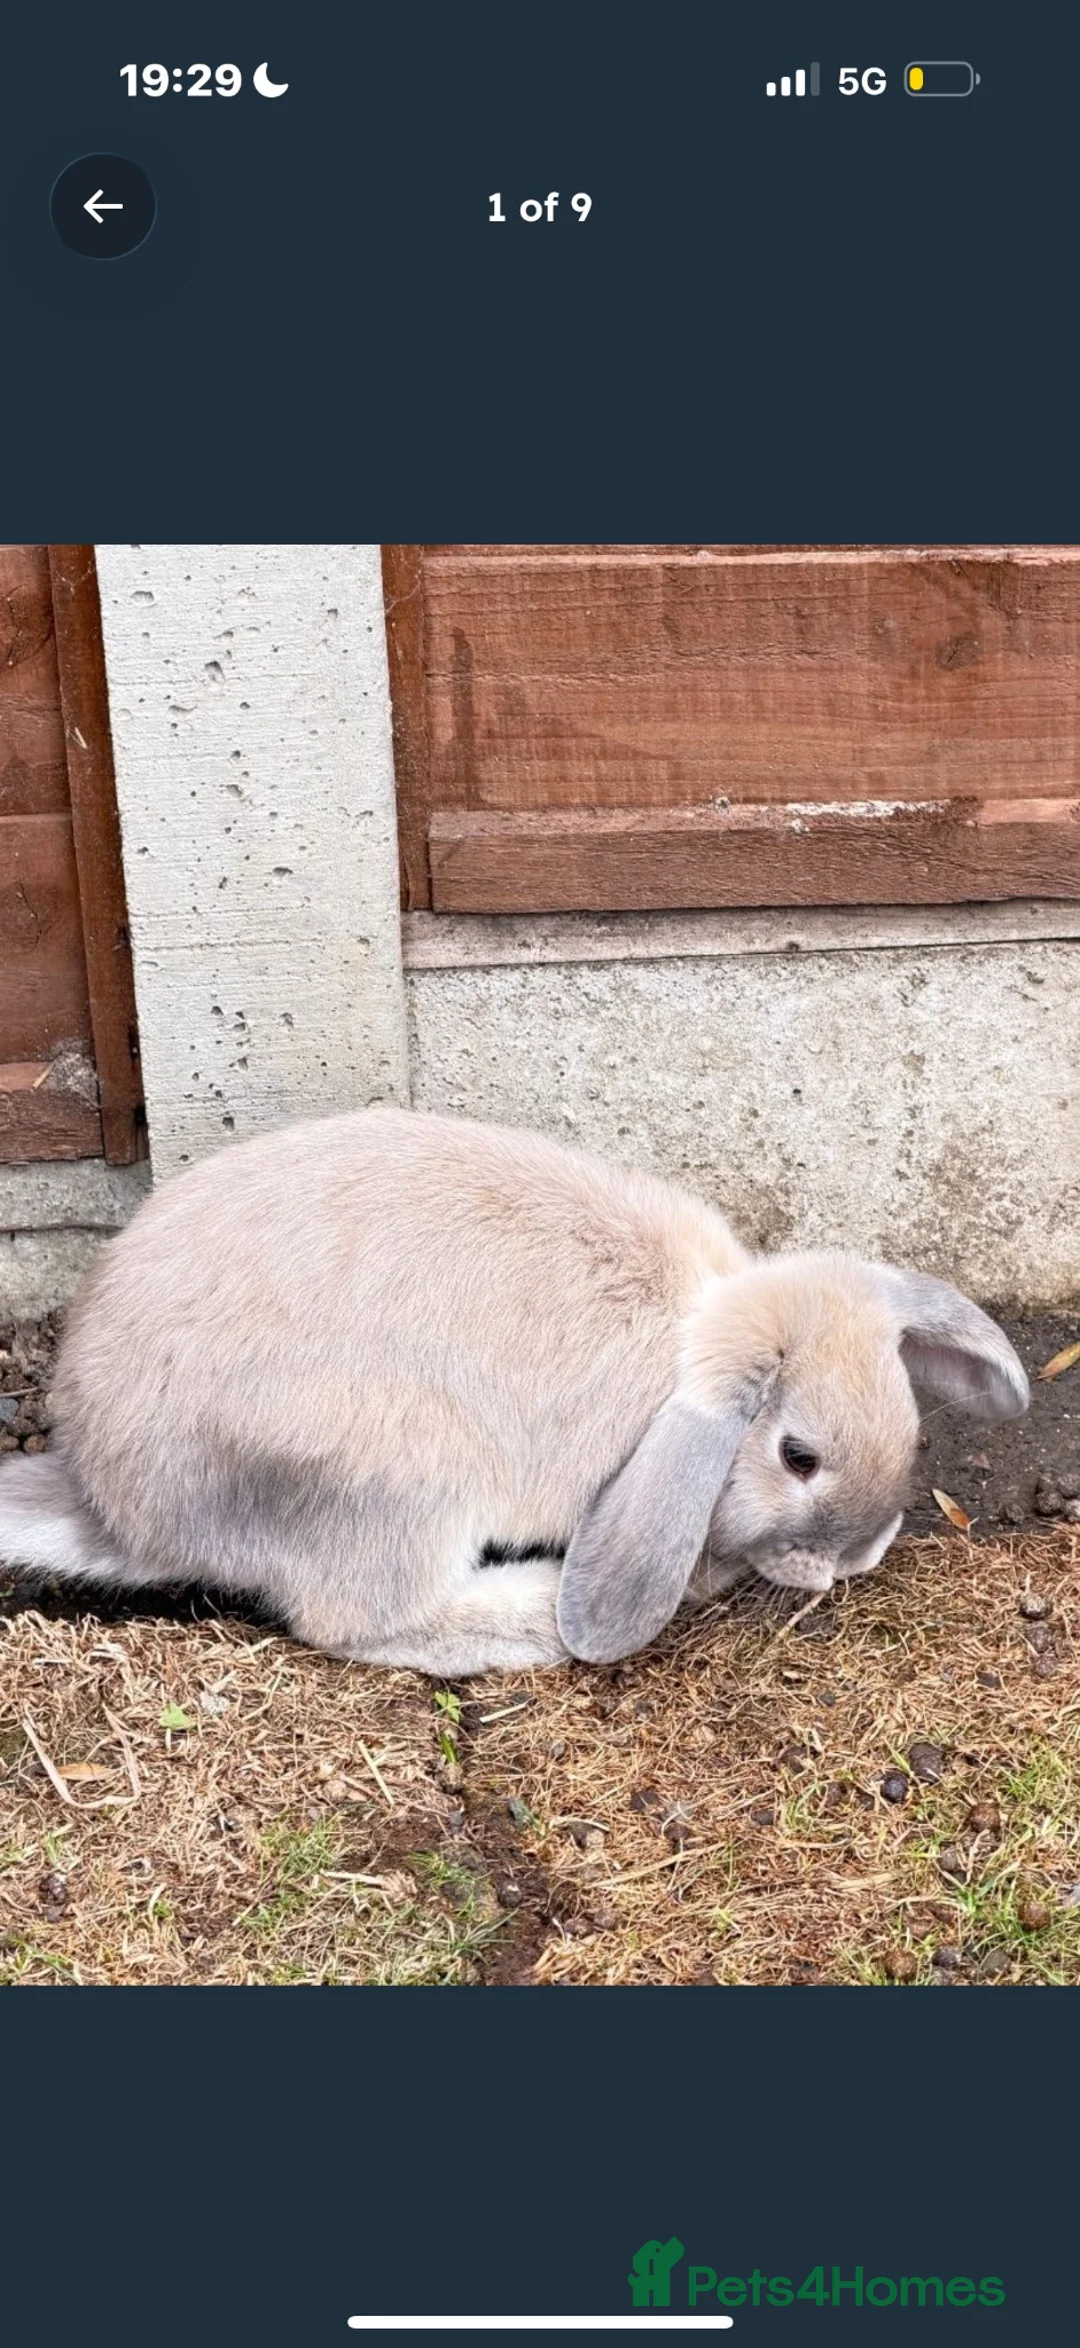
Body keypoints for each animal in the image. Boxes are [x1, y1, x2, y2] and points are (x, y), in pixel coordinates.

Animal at [0, 1106, 1028, 1676]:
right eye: (798, 1457)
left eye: (911, 1429)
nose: (856, 1559)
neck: (693, 1333)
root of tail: (118, 1507)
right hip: (394, 1474)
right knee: (370, 1622)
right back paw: (537, 1607)